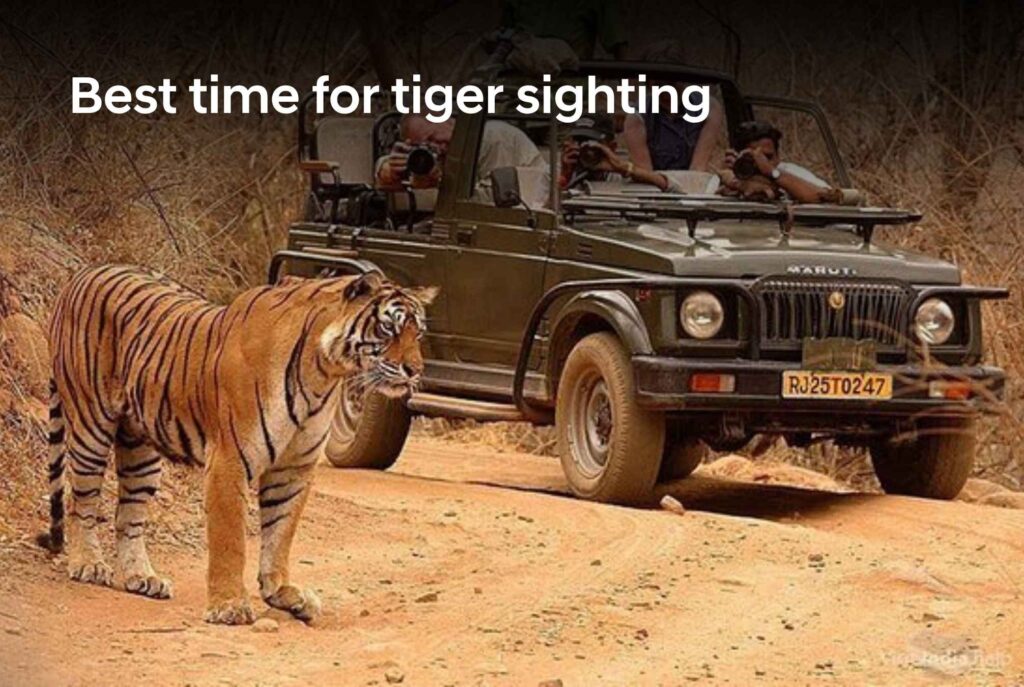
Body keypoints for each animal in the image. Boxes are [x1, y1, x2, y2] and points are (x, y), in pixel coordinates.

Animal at [41, 265, 436, 625]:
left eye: (418, 332)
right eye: (388, 327)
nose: (415, 370)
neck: (323, 373)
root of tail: (81, 274)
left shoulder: (293, 467)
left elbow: (280, 533)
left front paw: (282, 593)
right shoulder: (229, 459)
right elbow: (231, 539)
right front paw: (229, 606)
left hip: (141, 448)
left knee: (129, 515)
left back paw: (143, 578)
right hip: (91, 425)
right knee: (81, 501)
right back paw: (88, 564)